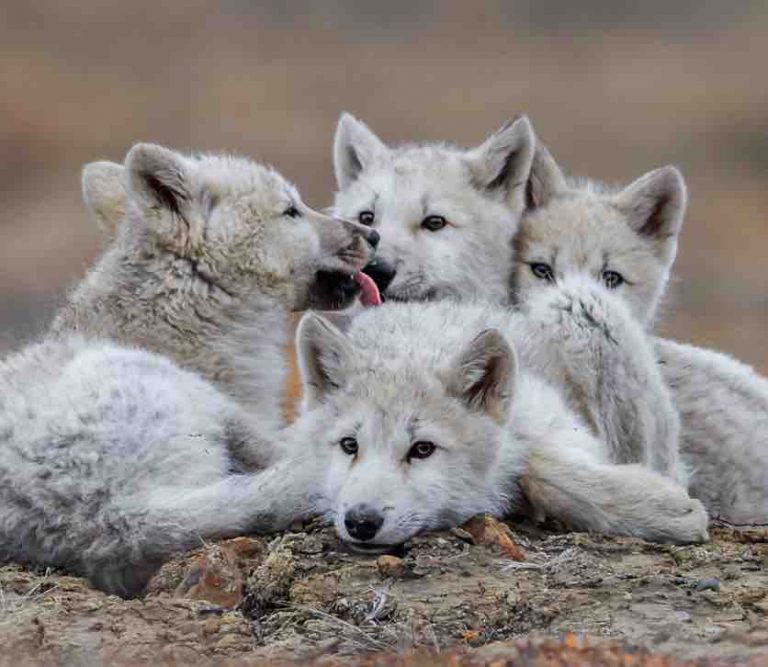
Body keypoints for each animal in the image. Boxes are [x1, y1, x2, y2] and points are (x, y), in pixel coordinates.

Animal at [292, 301, 708, 550]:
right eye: (349, 445)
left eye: (422, 449)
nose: (361, 521)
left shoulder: (562, 429)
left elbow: (537, 465)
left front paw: (662, 511)